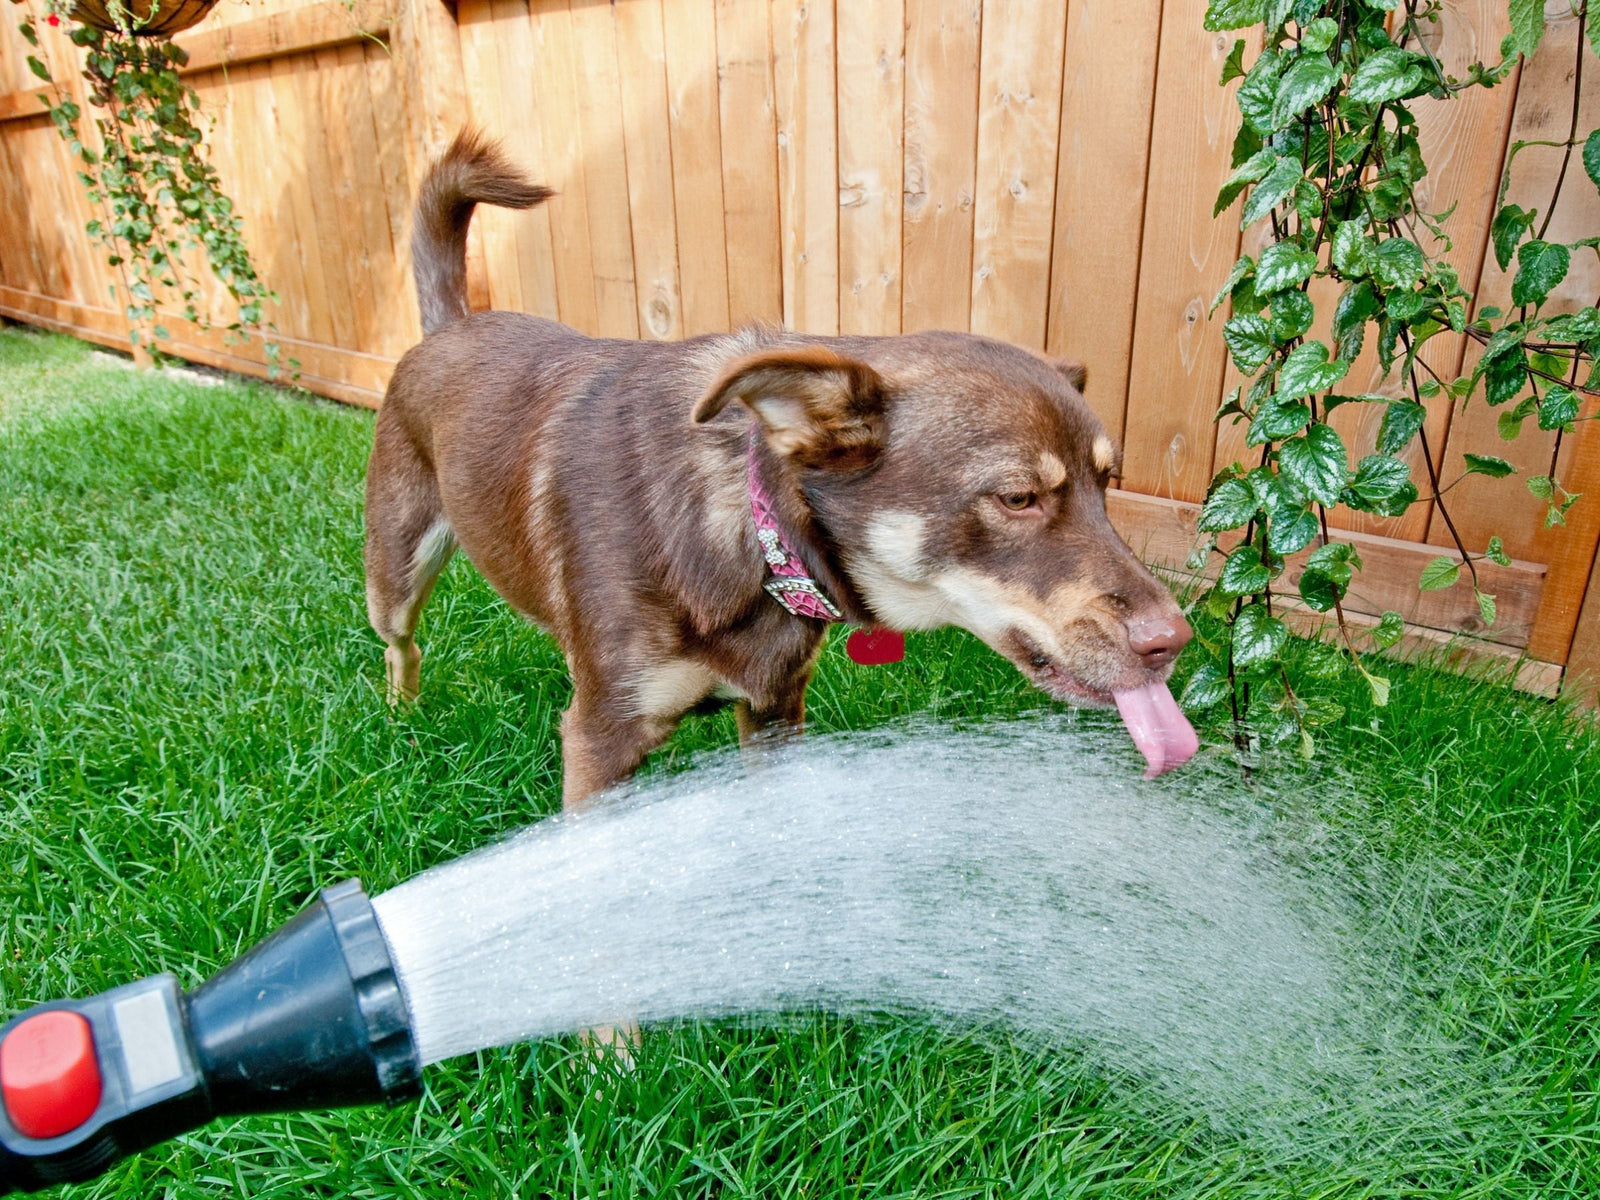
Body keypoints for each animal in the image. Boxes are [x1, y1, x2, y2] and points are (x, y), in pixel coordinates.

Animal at [363, 131, 1190, 809]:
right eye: (1018, 497)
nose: (1174, 642)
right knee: (402, 642)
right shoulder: (602, 739)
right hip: (396, 567)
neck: (753, 542)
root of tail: (449, 325)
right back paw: (401, 715)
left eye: (1107, 486)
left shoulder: (773, 714)